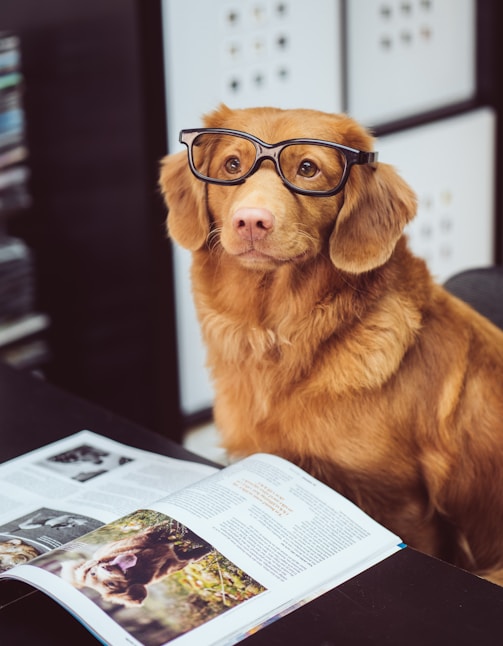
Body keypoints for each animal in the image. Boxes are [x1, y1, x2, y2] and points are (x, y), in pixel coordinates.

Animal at [61, 520, 213, 608]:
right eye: (111, 584)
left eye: (93, 572)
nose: (105, 567)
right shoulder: (173, 563)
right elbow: (189, 557)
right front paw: (206, 548)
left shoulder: (150, 536)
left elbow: (166, 527)